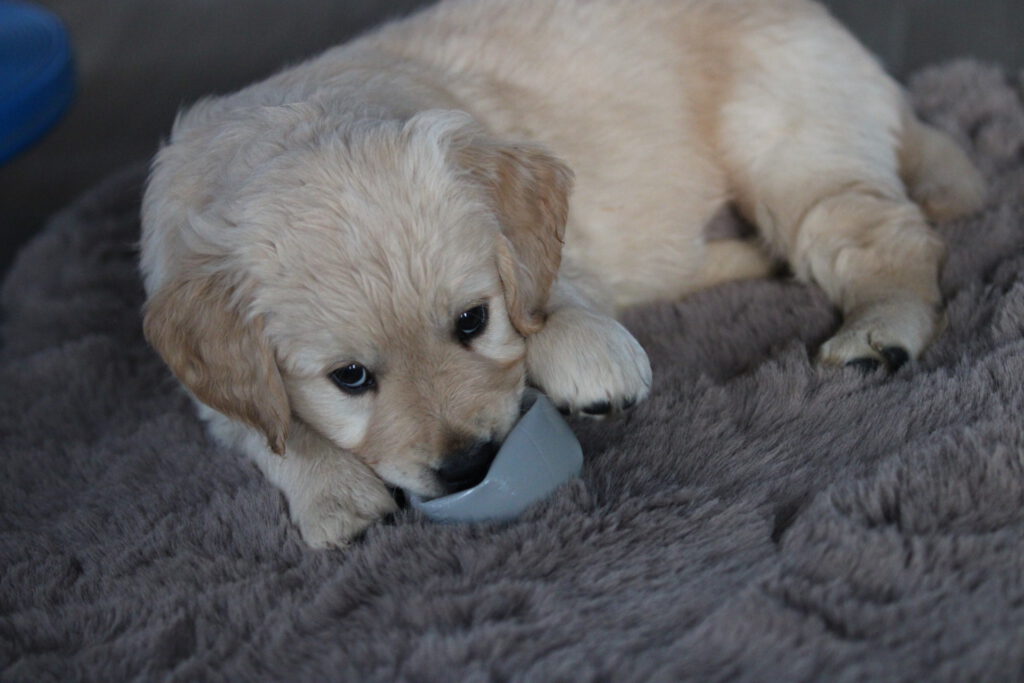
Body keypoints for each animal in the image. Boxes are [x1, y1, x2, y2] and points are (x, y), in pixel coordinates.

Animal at [140, 0, 986, 548]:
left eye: (473, 321)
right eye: (349, 378)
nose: (471, 464)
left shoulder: (552, 228)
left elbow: (551, 287)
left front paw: (584, 349)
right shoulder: (201, 374)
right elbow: (269, 433)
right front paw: (334, 494)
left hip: (789, 146)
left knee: (890, 235)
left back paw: (880, 328)